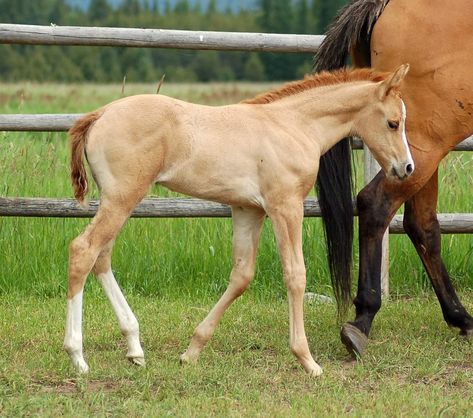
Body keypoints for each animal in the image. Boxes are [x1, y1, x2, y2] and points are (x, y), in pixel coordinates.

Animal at [314, 0, 472, 356]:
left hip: (418, 151)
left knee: (422, 224)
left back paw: (461, 317)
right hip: (425, 142)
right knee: (376, 204)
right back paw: (362, 319)